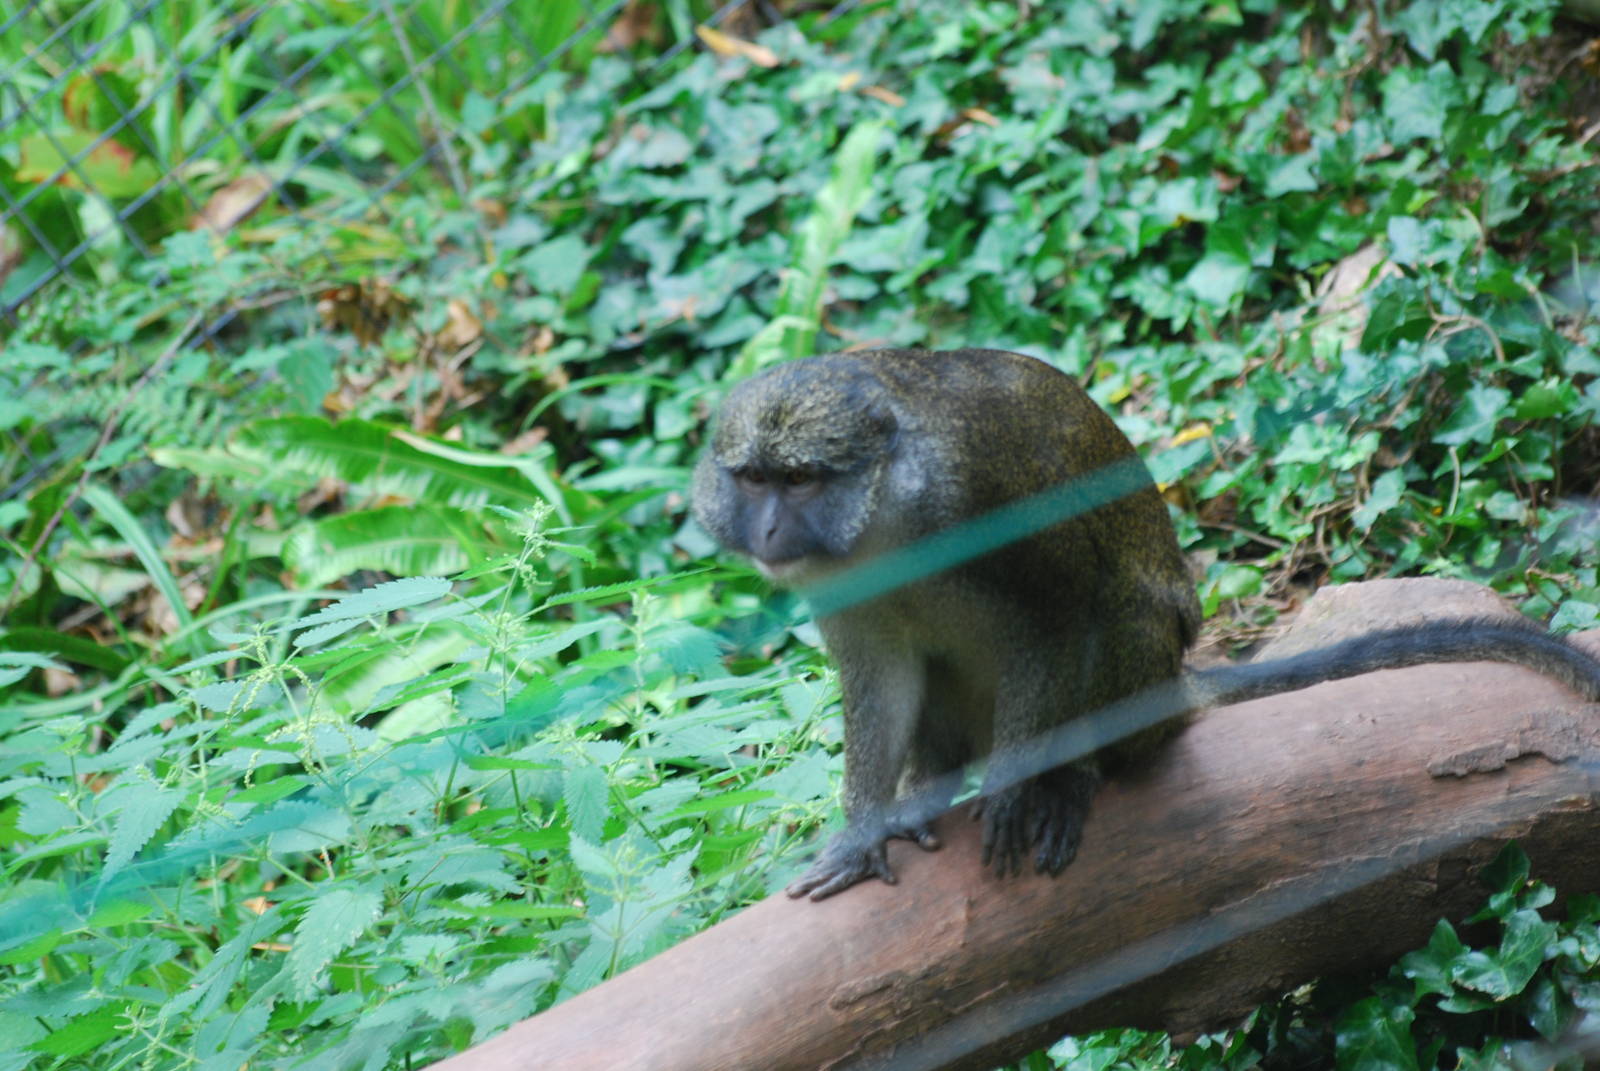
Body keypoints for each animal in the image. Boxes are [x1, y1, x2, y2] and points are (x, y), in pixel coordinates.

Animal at [690, 347, 1600, 901]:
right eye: (753, 478)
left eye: (801, 481)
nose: (766, 530)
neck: (883, 515)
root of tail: (1175, 688)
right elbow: (880, 678)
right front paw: (864, 829)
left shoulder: (979, 492)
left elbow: (1062, 609)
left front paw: (1017, 789)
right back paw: (932, 787)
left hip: (1143, 670)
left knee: (1114, 615)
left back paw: (1074, 776)